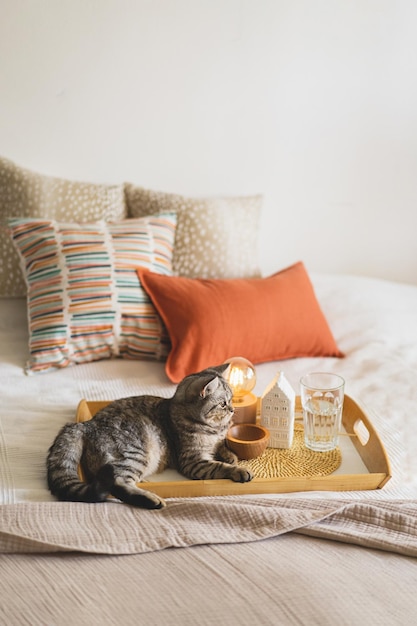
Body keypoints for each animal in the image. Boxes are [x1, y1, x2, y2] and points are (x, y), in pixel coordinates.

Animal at [47, 360, 252, 508]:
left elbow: (222, 446)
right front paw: (238, 470)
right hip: (135, 453)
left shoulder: (216, 442)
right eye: (223, 403)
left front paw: (230, 456)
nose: (233, 409)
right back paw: (152, 500)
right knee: (118, 484)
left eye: (232, 399)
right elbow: (218, 467)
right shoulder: (193, 461)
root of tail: (86, 424)